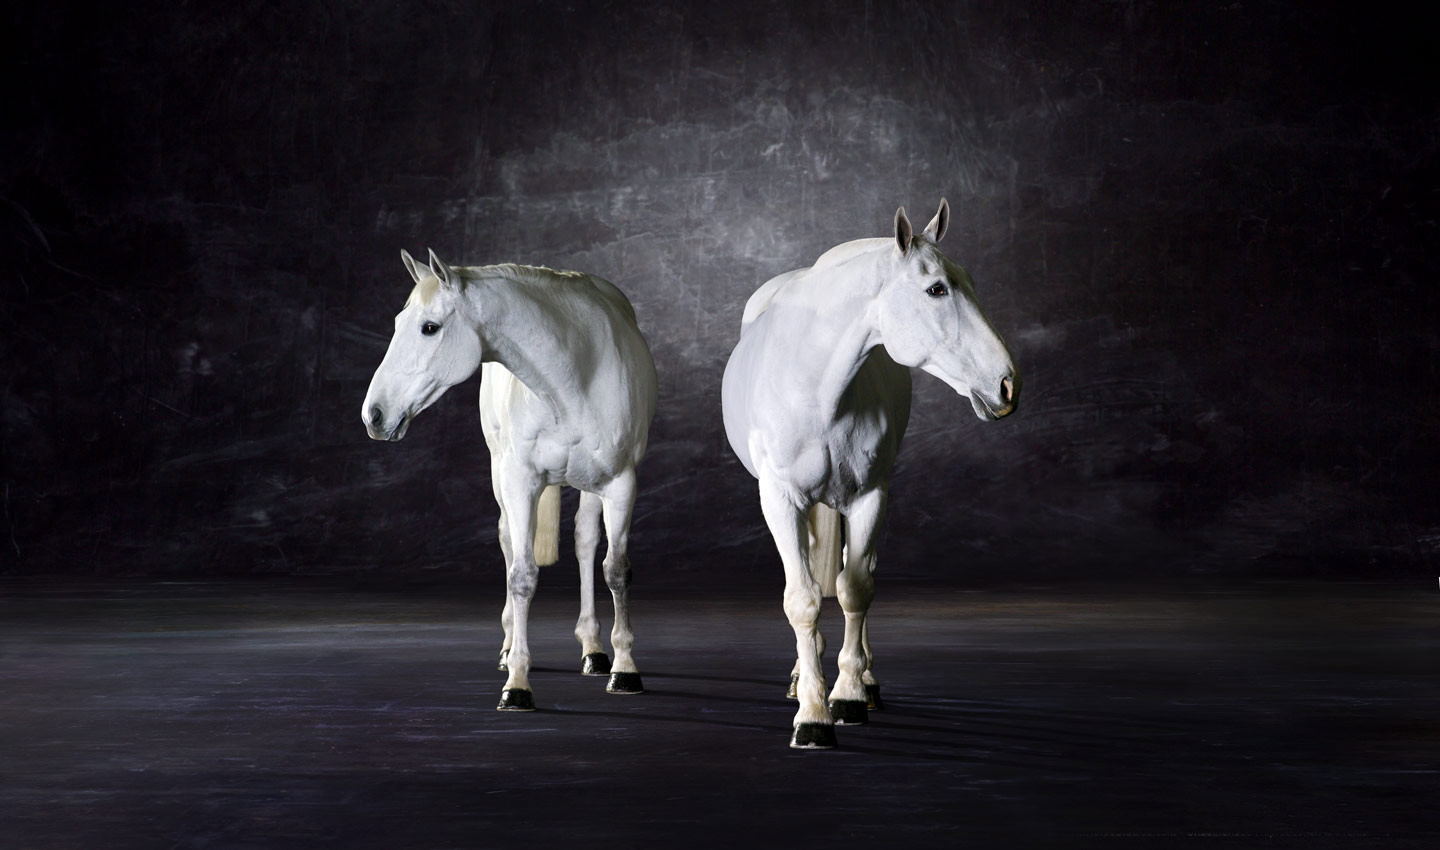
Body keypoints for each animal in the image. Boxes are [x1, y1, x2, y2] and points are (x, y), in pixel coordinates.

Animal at [363, 249, 658, 711]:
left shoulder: (620, 484)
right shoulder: (520, 482)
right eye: (397, 323)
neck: (572, 375)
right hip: (500, 474)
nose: (373, 414)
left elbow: (615, 570)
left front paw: (625, 668)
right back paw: (506, 648)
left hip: (592, 487)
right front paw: (517, 683)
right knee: (507, 539)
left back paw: (593, 649)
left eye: (429, 327)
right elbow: (521, 576)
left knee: (586, 542)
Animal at [721, 199, 1020, 748]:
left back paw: (862, 677)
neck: (818, 386)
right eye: (937, 289)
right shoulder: (781, 499)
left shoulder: (870, 497)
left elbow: (855, 588)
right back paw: (801, 675)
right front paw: (813, 715)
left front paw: (848, 696)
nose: (1008, 384)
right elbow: (802, 599)